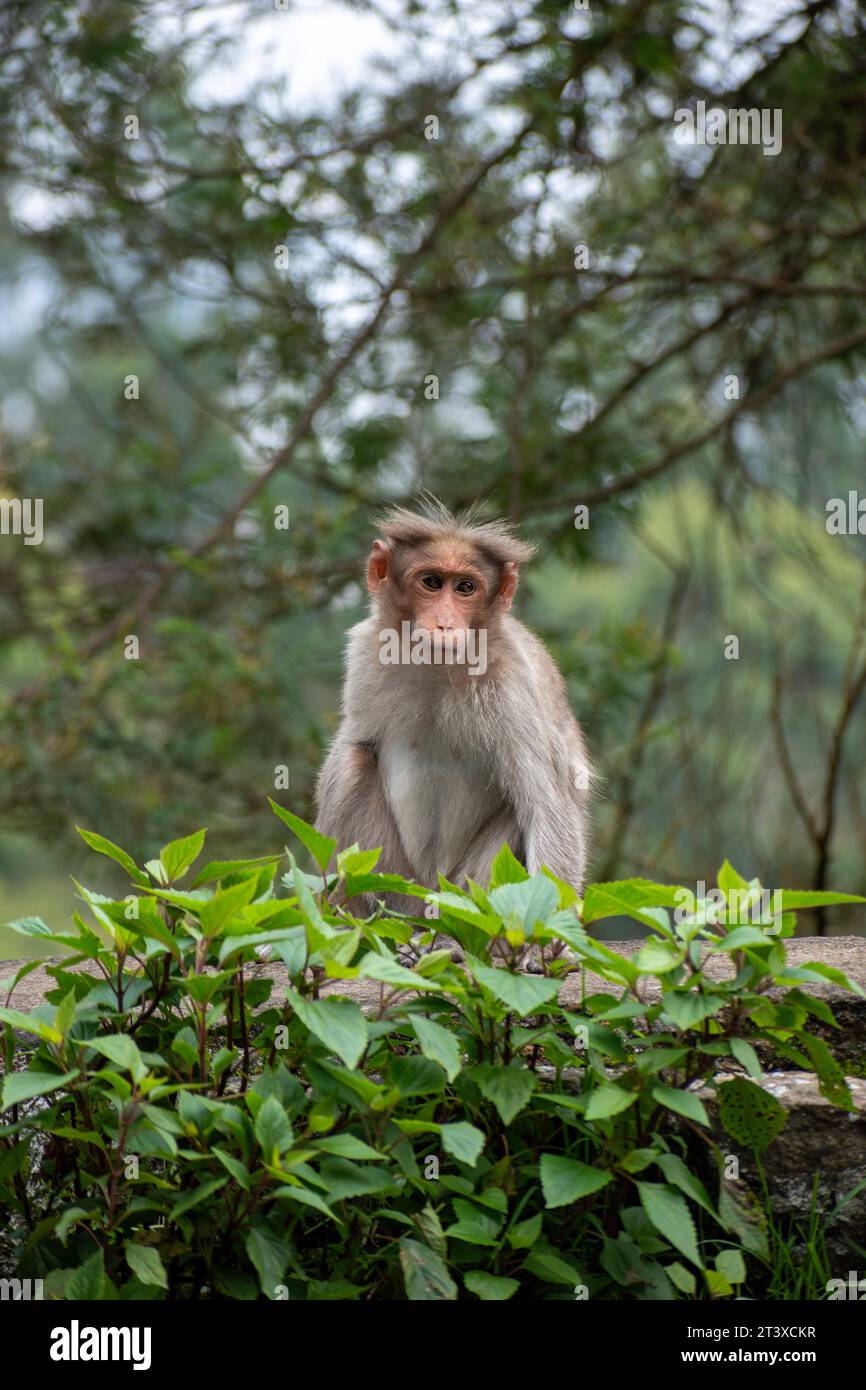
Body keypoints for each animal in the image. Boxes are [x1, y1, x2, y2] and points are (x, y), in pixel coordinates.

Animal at [315, 500, 592, 945]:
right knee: (354, 761)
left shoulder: (513, 684)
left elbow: (548, 807)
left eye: (465, 588)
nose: (445, 623)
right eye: (432, 582)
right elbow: (355, 743)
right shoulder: (366, 655)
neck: (439, 666)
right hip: (401, 889)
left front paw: (545, 941)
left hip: (460, 894)